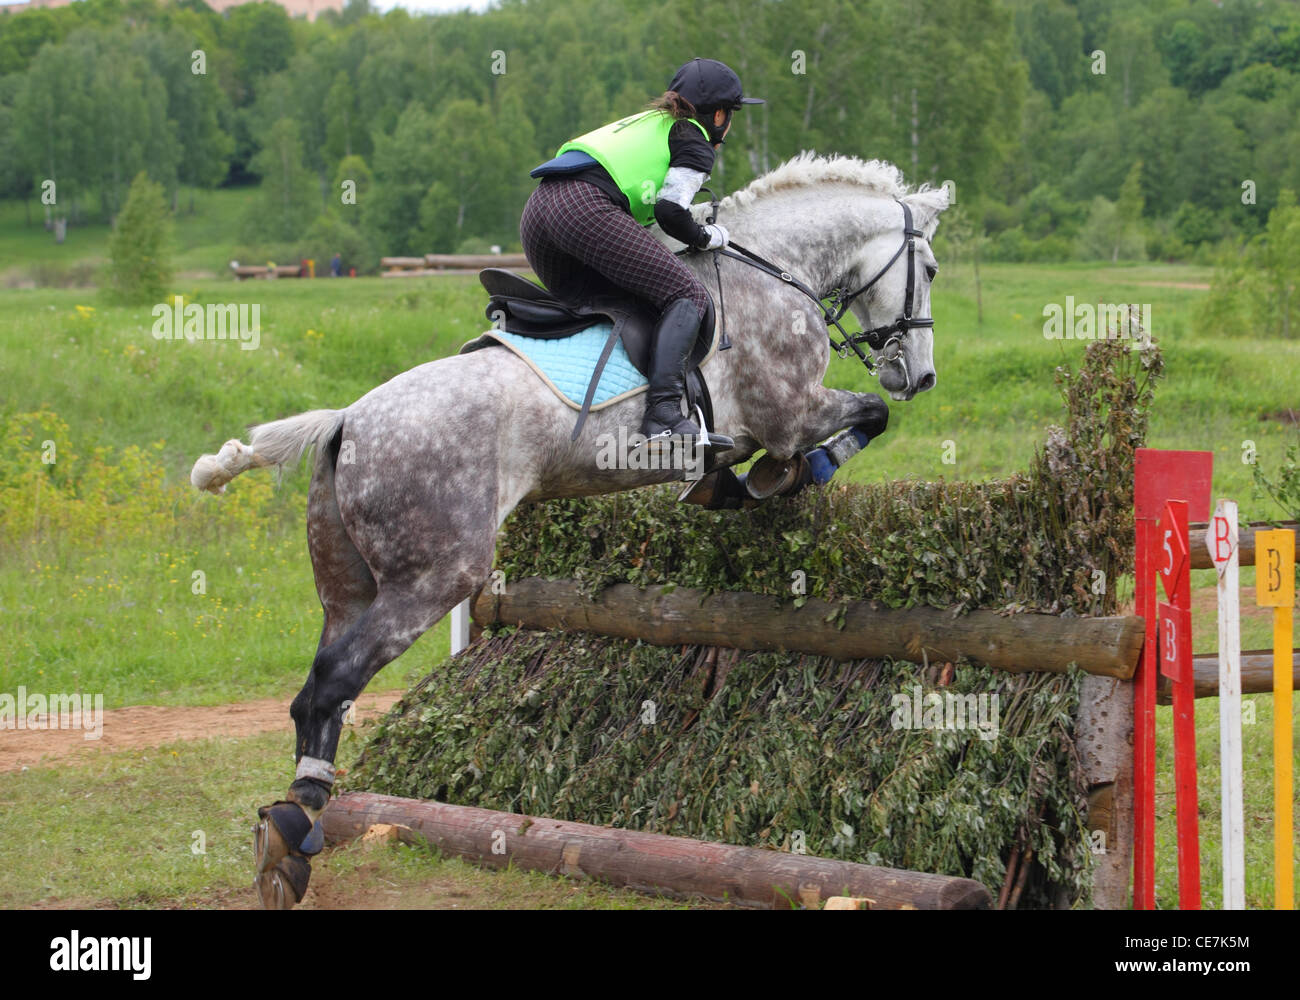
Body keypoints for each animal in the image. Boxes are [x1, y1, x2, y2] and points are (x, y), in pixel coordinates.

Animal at [189, 152, 950, 908]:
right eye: (933, 270)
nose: (920, 376)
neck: (774, 269)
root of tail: (346, 419)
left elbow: (800, 440)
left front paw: (729, 482)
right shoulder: (792, 412)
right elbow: (864, 417)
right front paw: (787, 473)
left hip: (346, 588)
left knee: (319, 689)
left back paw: (292, 821)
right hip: (435, 576)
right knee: (333, 682)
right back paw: (295, 830)